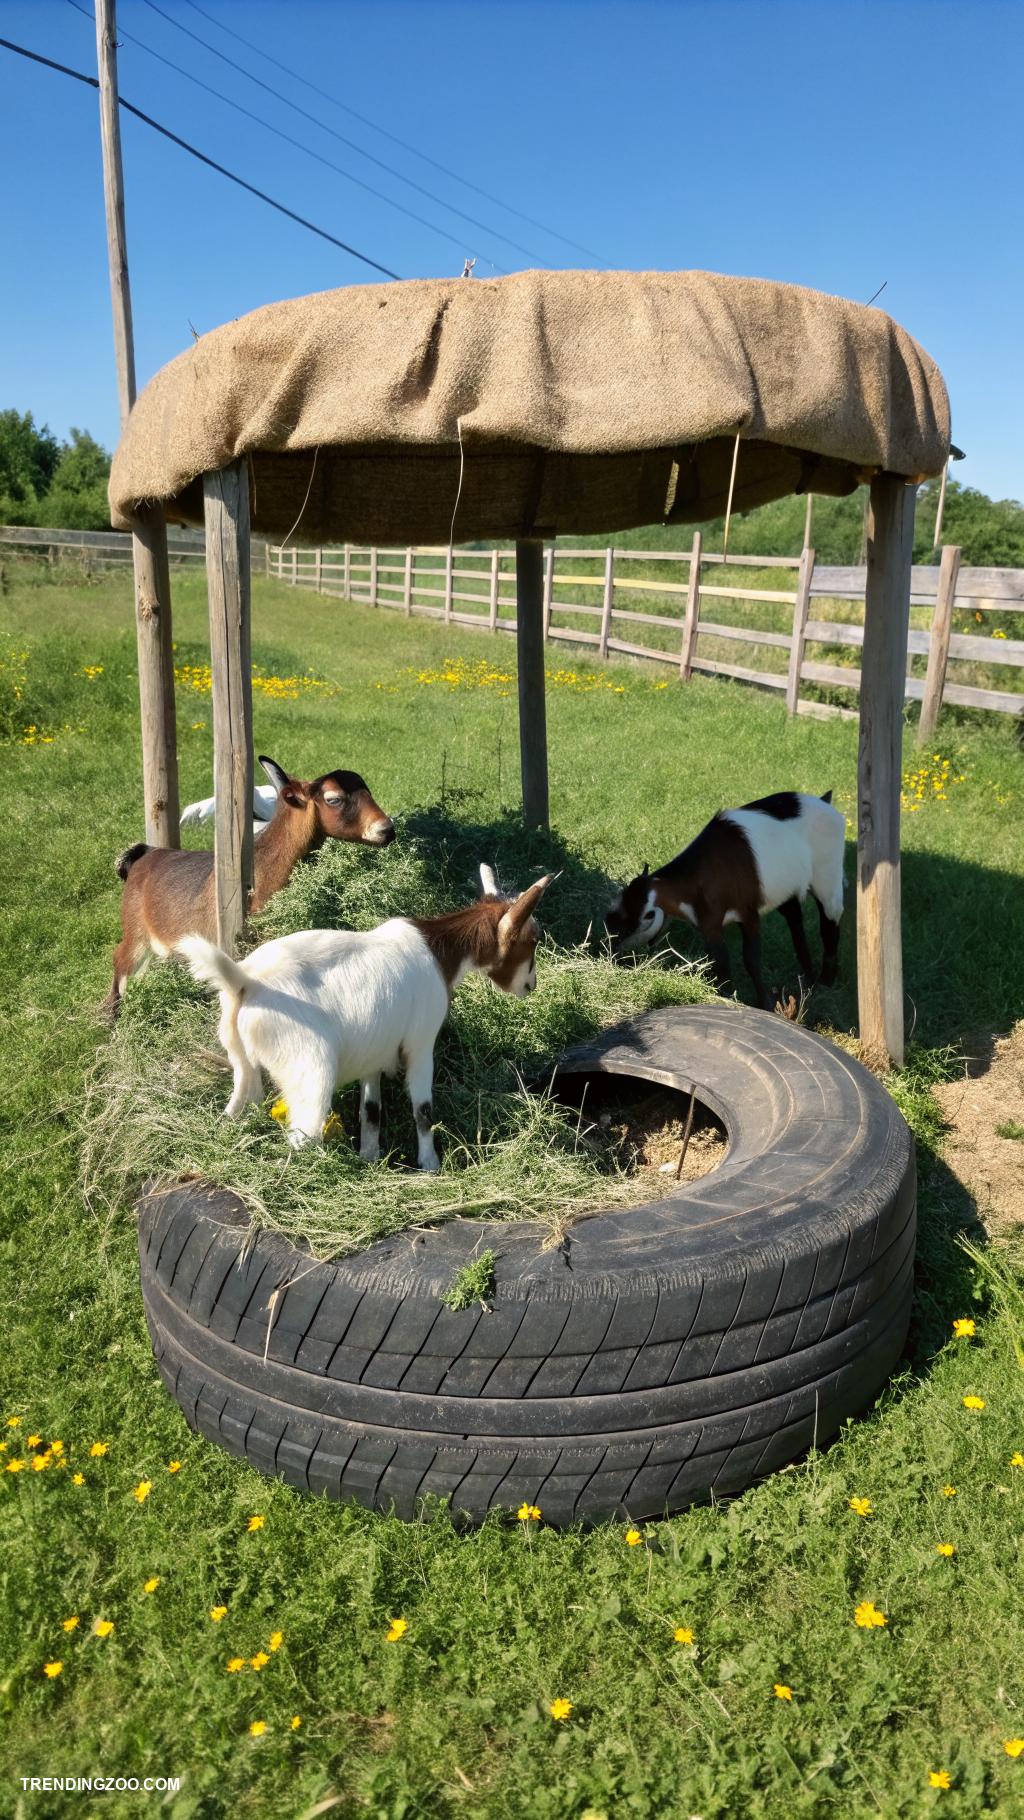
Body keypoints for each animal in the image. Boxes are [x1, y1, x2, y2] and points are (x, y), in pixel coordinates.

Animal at [104, 755, 394, 1019]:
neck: (262, 871)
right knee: (120, 959)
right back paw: (111, 1016)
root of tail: (143, 855)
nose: (387, 829)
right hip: (135, 931)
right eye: (334, 799)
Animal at [177, 864, 553, 1168]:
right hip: (309, 1069)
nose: (531, 985)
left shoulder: (375, 1050)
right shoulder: (421, 1043)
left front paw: (369, 1157)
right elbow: (423, 1109)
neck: (439, 951)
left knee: (236, 1107)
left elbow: (371, 1111)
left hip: (241, 1063)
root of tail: (246, 982)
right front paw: (430, 1163)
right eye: (532, 940)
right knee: (301, 1136)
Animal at [605, 791, 844, 1009]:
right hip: (787, 889)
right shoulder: (708, 925)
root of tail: (823, 801)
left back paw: (825, 981)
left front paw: (765, 1004)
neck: (705, 875)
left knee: (829, 922)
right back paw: (809, 978)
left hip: (828, 879)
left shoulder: (748, 914)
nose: (613, 952)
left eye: (647, 917)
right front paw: (725, 996)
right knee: (795, 919)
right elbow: (720, 962)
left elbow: (751, 959)